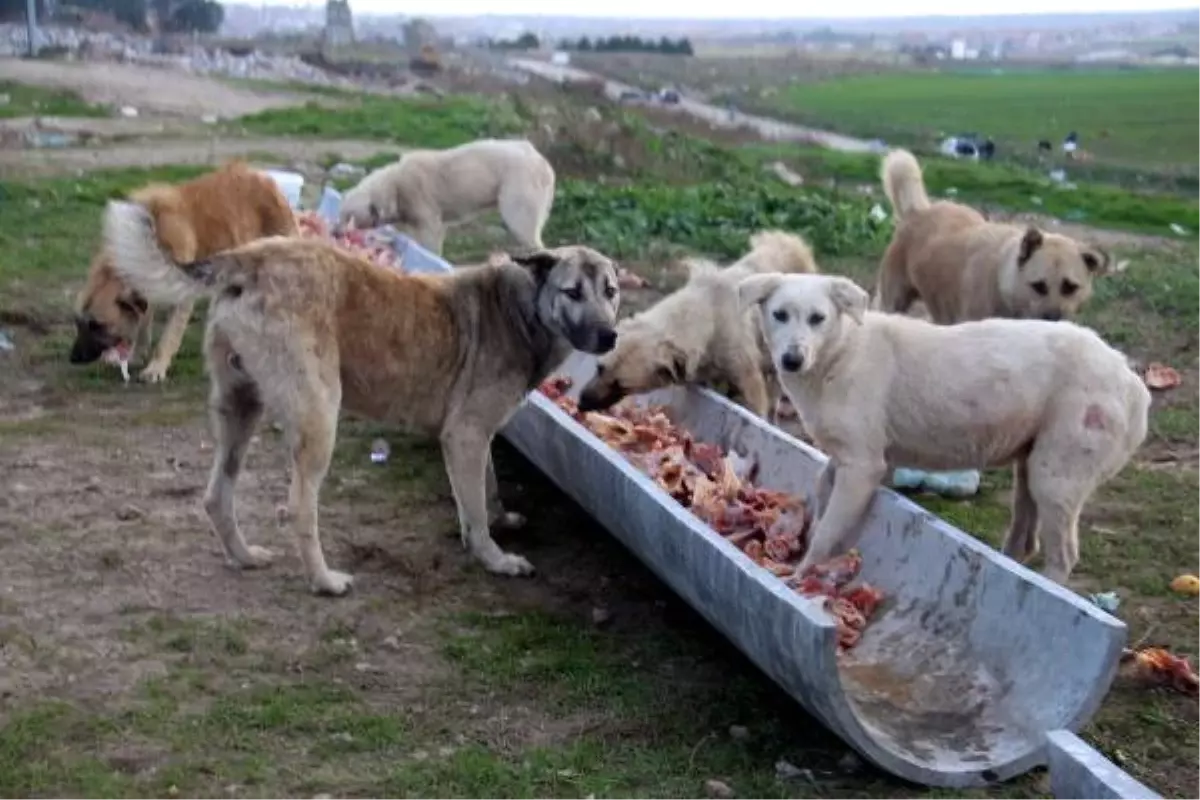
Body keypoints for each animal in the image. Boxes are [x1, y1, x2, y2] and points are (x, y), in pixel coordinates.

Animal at [103, 199, 619, 594]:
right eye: (572, 292)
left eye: (611, 291)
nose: (610, 335)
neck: (522, 309)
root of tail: (252, 256)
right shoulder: (466, 435)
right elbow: (476, 506)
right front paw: (494, 558)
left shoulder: (470, 441)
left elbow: (483, 492)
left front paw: (494, 525)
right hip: (318, 419)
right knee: (299, 507)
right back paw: (324, 581)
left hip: (240, 410)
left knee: (216, 497)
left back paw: (244, 557)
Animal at [338, 137, 552, 256]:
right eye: (341, 214)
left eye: (349, 217)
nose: (336, 232)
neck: (394, 186)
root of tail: (544, 163)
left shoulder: (419, 197)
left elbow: (431, 235)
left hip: (517, 181)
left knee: (521, 222)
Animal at [576, 230, 820, 422]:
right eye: (599, 368)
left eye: (622, 385)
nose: (580, 403)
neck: (708, 314)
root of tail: (792, 242)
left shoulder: (749, 380)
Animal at [739, 272, 1152, 585]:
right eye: (779, 314)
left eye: (817, 318)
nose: (792, 360)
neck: (840, 354)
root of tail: (1131, 379)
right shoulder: (851, 459)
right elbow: (820, 491)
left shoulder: (864, 466)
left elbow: (827, 532)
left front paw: (799, 576)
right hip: (1031, 468)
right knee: (1025, 541)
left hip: (1057, 478)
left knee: (1064, 555)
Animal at [873, 148, 1123, 323]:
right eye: (1038, 286)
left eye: (1070, 287)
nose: (1053, 321)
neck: (1003, 282)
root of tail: (919, 210)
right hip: (892, 300)